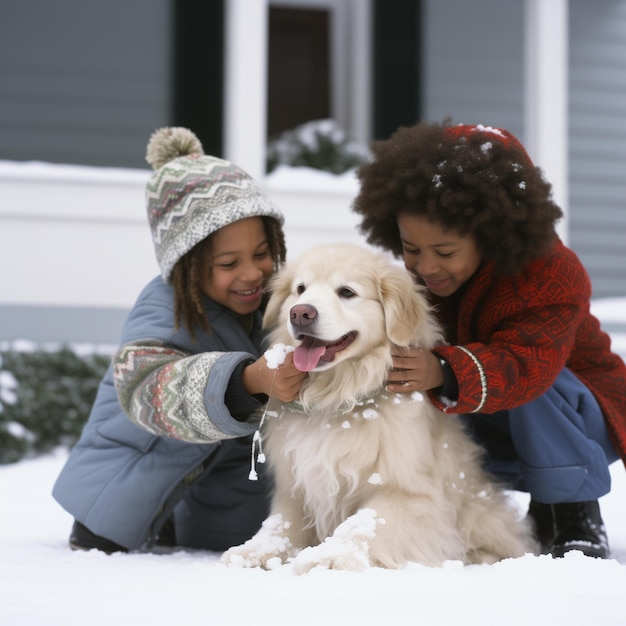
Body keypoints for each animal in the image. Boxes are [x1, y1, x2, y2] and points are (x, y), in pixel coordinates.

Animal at [219, 244, 532, 572]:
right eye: (300, 289)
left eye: (346, 292)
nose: (300, 312)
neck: (337, 398)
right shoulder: (296, 485)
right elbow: (281, 524)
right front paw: (256, 552)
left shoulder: (406, 491)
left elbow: (363, 525)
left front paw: (330, 557)